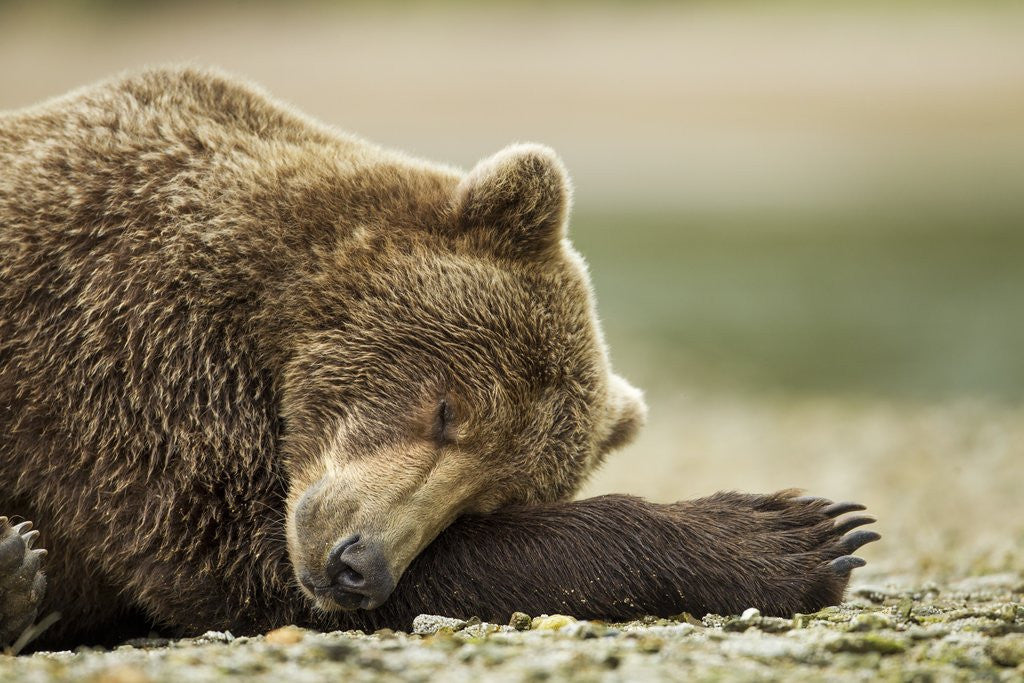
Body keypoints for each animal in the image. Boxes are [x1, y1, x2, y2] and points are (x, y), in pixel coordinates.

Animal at [0, 66, 879, 651]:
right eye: (448, 407)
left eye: (490, 495)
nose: (360, 564)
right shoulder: (125, 349)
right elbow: (226, 551)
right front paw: (793, 532)